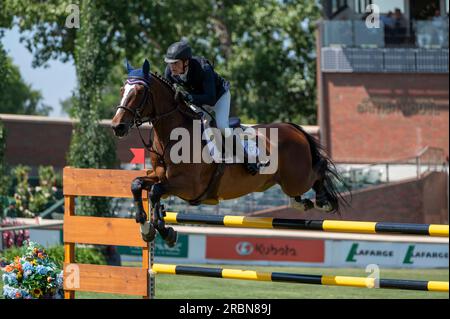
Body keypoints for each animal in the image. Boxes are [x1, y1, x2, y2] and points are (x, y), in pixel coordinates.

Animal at [110, 58, 346, 246]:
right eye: (122, 91)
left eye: (139, 92)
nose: (117, 126)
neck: (173, 136)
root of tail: (292, 128)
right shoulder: (161, 177)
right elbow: (138, 185)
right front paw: (148, 227)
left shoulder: (188, 186)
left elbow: (155, 192)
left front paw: (164, 230)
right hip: (284, 181)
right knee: (301, 189)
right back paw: (301, 203)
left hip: (297, 178)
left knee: (318, 170)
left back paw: (323, 201)